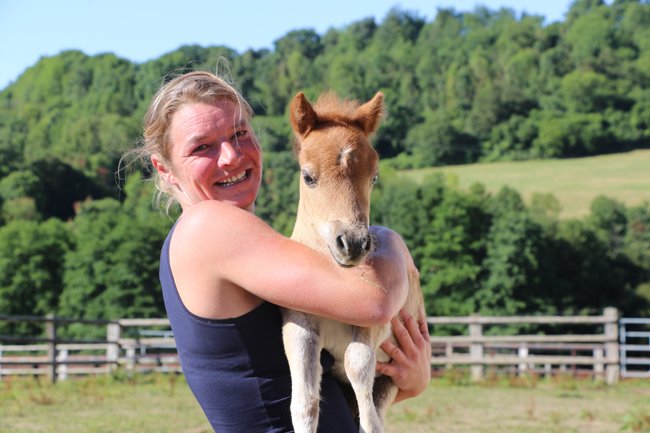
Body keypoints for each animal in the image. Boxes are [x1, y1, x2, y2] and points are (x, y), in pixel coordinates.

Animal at [282, 90, 424, 433]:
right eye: (308, 176)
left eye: (374, 176)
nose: (353, 243)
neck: (331, 276)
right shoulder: (299, 324)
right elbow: (305, 402)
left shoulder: (374, 323)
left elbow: (359, 375)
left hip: (389, 379)